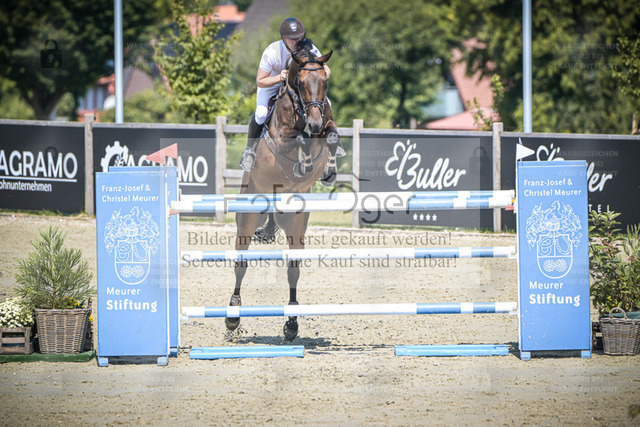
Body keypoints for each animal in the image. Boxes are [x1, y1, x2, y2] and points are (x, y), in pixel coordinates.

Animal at [226, 41, 340, 341]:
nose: (314, 122)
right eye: (300, 84)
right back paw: (232, 317)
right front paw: (304, 161)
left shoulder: (326, 124)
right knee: (241, 264)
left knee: (293, 269)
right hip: (247, 219)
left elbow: (332, 136)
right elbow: (299, 138)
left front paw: (328, 170)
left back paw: (291, 323)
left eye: (324, 81)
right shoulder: (283, 136)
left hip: (296, 223)